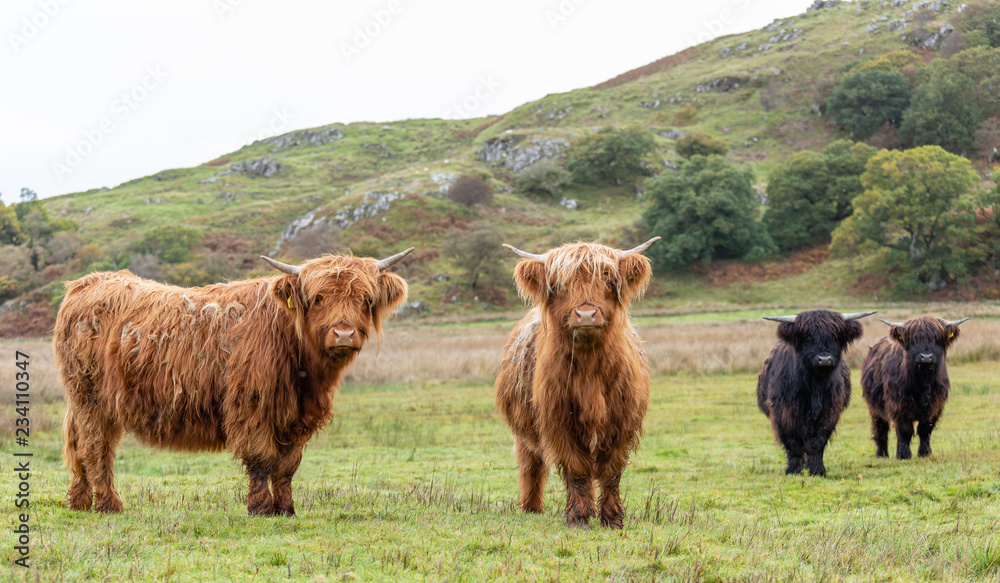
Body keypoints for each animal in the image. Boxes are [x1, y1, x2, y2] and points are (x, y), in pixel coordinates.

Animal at [52, 250, 412, 516]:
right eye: (319, 298)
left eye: (365, 298)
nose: (344, 333)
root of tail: (85, 283)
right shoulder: (251, 404)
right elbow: (262, 459)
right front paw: (261, 508)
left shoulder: (297, 416)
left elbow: (288, 465)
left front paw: (286, 508)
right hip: (89, 397)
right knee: (94, 447)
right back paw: (108, 504)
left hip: (96, 402)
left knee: (80, 445)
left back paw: (79, 501)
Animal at [492, 237, 656, 528]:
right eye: (558, 285)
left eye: (608, 280)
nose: (587, 314)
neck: (590, 371)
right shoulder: (559, 421)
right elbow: (577, 470)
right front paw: (579, 516)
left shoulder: (622, 421)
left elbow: (611, 472)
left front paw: (612, 518)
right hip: (523, 432)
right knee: (531, 465)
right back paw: (531, 508)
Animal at [756, 308, 876, 476]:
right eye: (807, 337)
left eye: (835, 336)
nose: (824, 359)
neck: (814, 384)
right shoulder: (784, 414)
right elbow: (793, 443)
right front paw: (793, 470)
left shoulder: (829, 413)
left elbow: (816, 442)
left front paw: (817, 470)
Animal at [860, 314, 968, 460]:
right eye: (914, 339)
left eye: (937, 338)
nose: (926, 357)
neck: (924, 381)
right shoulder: (899, 405)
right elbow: (905, 430)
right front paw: (903, 455)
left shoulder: (935, 406)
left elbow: (925, 429)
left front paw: (924, 452)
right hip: (875, 409)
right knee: (880, 429)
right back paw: (882, 454)